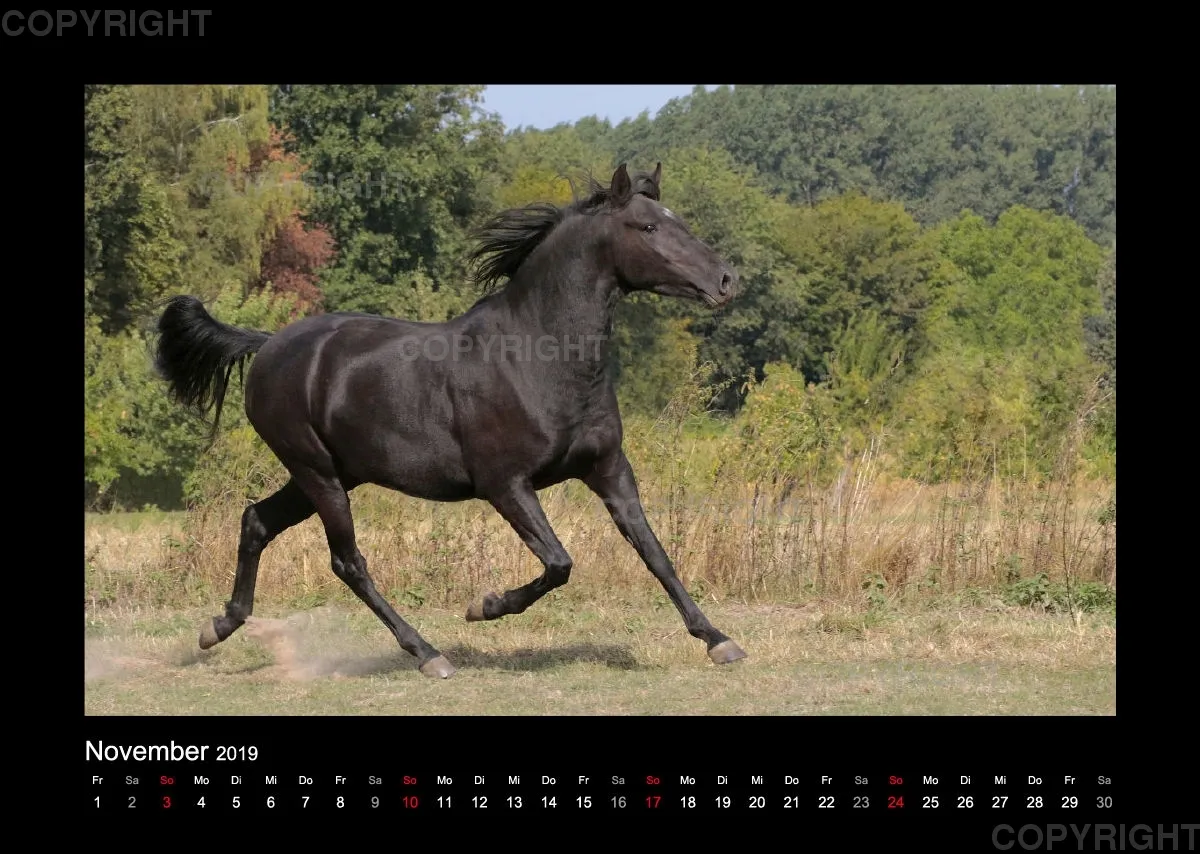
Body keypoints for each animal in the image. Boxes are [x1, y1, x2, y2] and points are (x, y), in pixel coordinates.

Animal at [154, 162, 746, 679]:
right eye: (648, 226)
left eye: (677, 220)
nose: (725, 280)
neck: (539, 356)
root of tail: (268, 343)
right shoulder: (506, 485)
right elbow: (559, 563)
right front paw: (484, 605)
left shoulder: (608, 470)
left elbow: (656, 554)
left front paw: (719, 640)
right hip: (317, 472)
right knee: (347, 562)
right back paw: (428, 654)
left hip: (332, 474)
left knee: (257, 521)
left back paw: (218, 627)